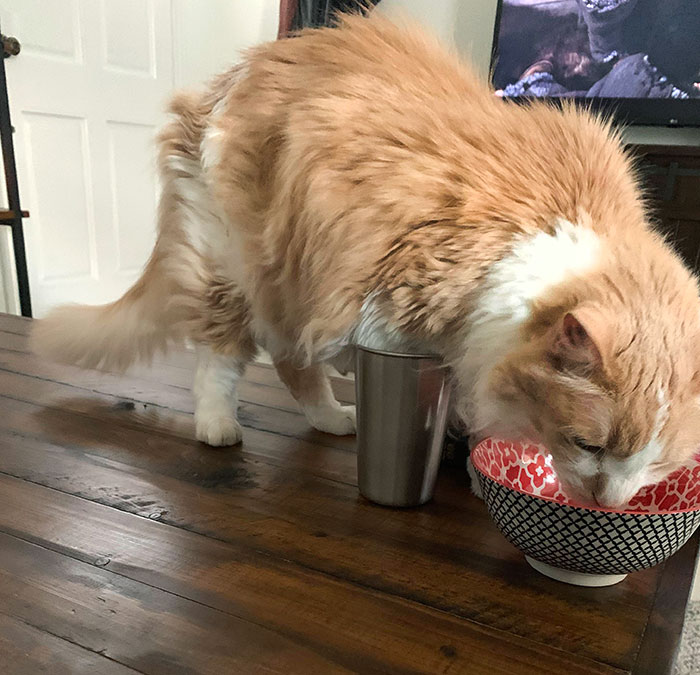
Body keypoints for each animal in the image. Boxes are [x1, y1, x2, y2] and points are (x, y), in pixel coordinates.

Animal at [32, 13, 700, 508]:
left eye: (656, 464)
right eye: (588, 445)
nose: (609, 504)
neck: (553, 223)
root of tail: (223, 81)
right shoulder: (389, 310)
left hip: (286, 277)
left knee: (292, 362)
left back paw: (333, 418)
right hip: (233, 262)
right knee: (223, 362)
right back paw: (220, 428)